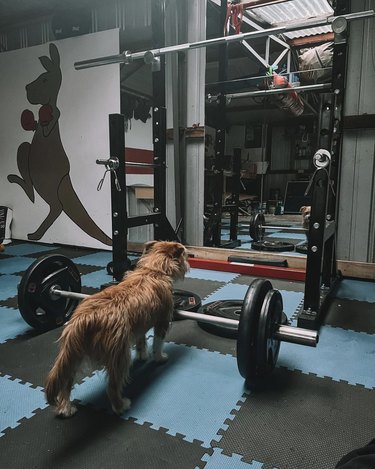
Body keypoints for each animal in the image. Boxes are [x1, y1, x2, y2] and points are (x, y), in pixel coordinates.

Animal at [45, 241, 189, 416]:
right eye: (184, 256)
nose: (188, 264)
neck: (153, 270)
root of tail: (83, 319)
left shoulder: (140, 325)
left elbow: (141, 342)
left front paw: (142, 356)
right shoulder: (162, 322)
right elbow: (157, 344)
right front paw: (159, 358)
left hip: (74, 355)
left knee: (66, 381)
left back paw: (66, 407)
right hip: (120, 355)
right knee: (112, 386)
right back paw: (121, 406)